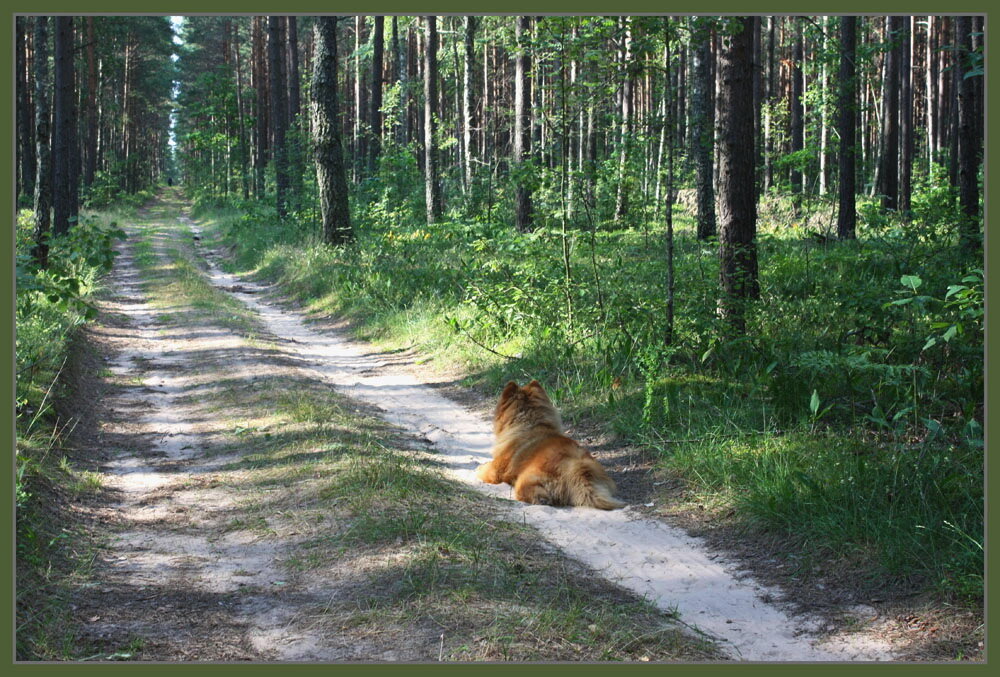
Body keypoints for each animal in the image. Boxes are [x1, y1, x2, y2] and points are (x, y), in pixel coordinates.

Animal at [476, 378, 624, 510]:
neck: (530, 424)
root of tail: (576, 468)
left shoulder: (495, 470)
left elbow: (483, 469)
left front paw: (478, 467)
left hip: (527, 479)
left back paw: (541, 499)